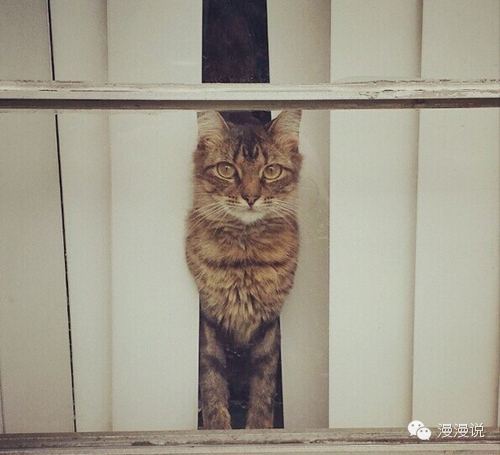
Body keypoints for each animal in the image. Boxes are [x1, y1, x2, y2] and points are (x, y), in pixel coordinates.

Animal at [185, 110, 302, 429]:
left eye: (271, 171)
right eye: (226, 169)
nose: (250, 197)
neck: (244, 258)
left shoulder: (269, 324)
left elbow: (263, 385)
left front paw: (257, 428)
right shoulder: (207, 322)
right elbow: (212, 383)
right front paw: (218, 429)